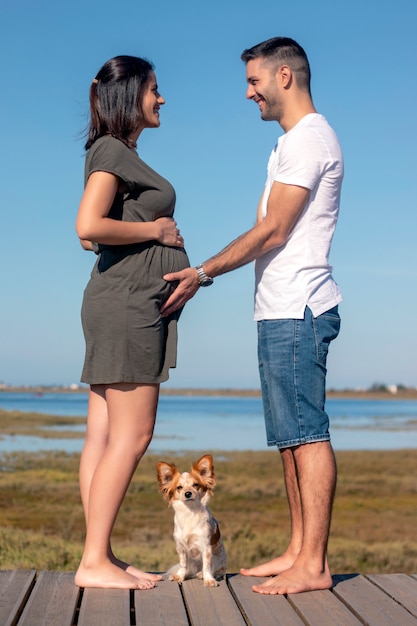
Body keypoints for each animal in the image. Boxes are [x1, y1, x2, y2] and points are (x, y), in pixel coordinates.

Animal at [157, 450, 228, 584]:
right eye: (179, 487)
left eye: (196, 485)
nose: (188, 493)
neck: (189, 512)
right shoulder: (180, 547)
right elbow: (182, 564)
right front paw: (180, 576)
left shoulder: (206, 547)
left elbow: (206, 566)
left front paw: (208, 580)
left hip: (218, 560)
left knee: (215, 571)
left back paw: (202, 574)